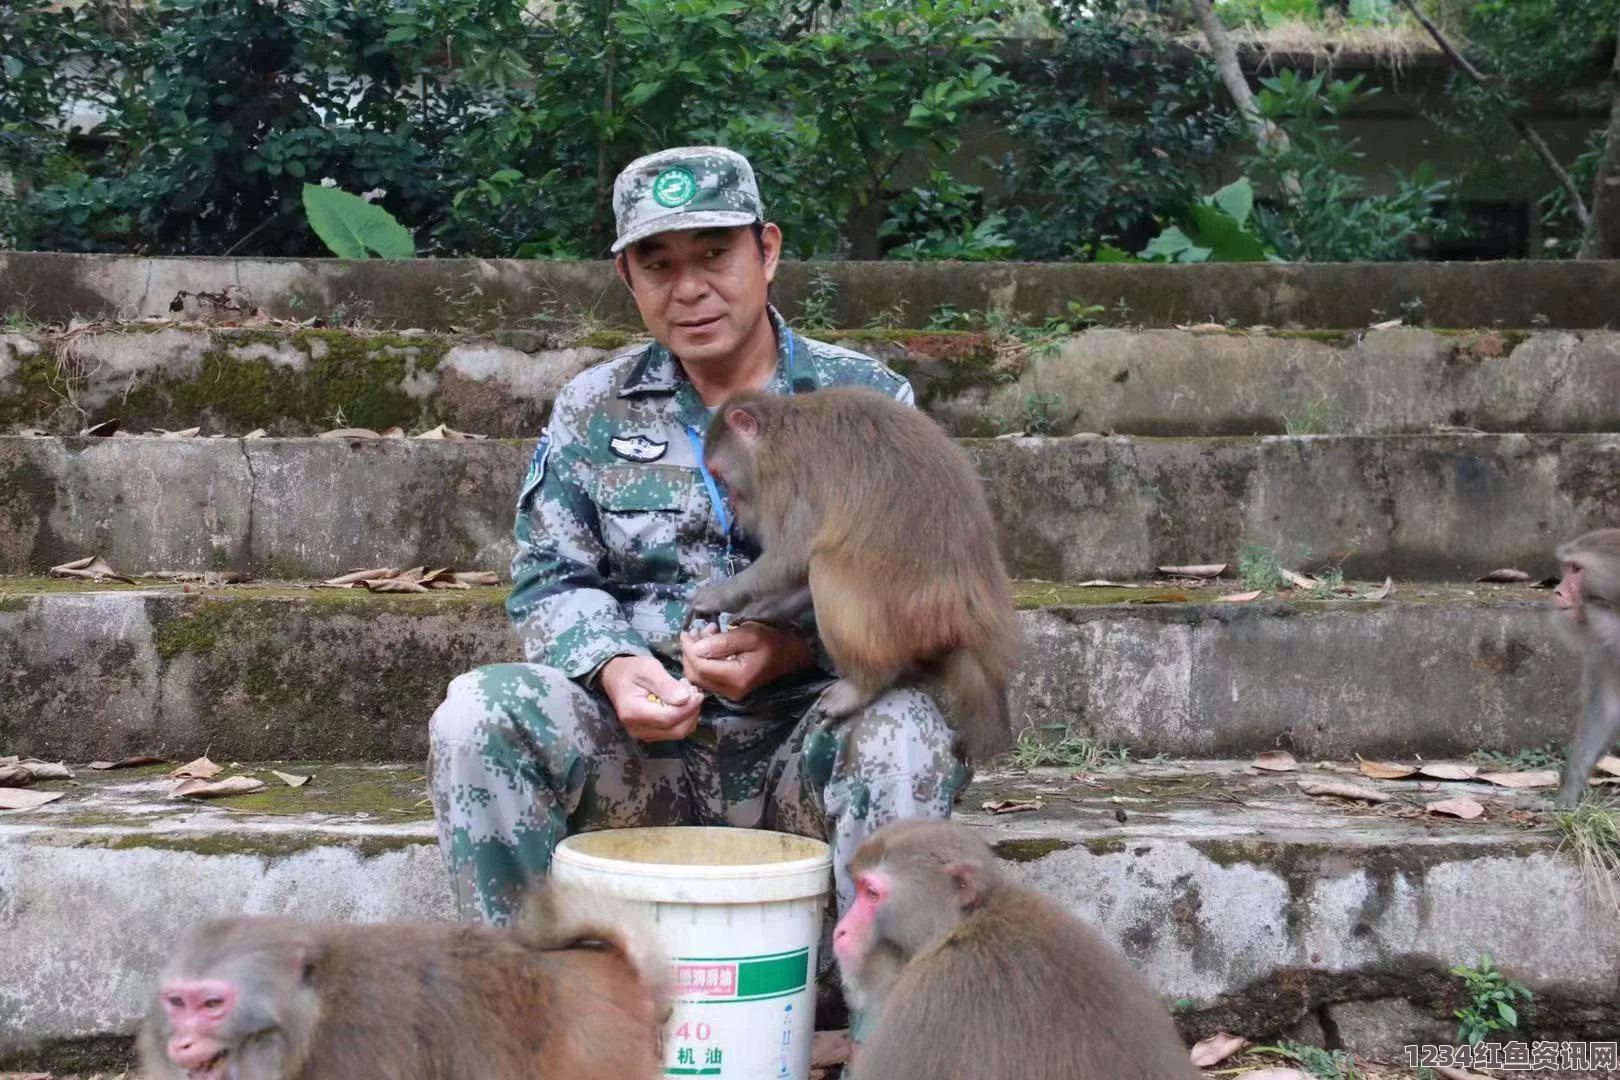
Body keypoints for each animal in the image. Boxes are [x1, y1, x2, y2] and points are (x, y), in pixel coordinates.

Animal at [686, 383, 1017, 764]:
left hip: (908, 615)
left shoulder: (789, 479)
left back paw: (865, 683)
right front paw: (763, 610)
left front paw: (715, 597)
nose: (734, 506)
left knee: (826, 565)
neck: (775, 434)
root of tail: (967, 620)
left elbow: (791, 556)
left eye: (720, 476)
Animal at [1542, 527, 1620, 806]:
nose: (1557, 591)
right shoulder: (1605, 648)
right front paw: (1569, 790)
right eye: (1566, 568)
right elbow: (1607, 705)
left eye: (1576, 569)